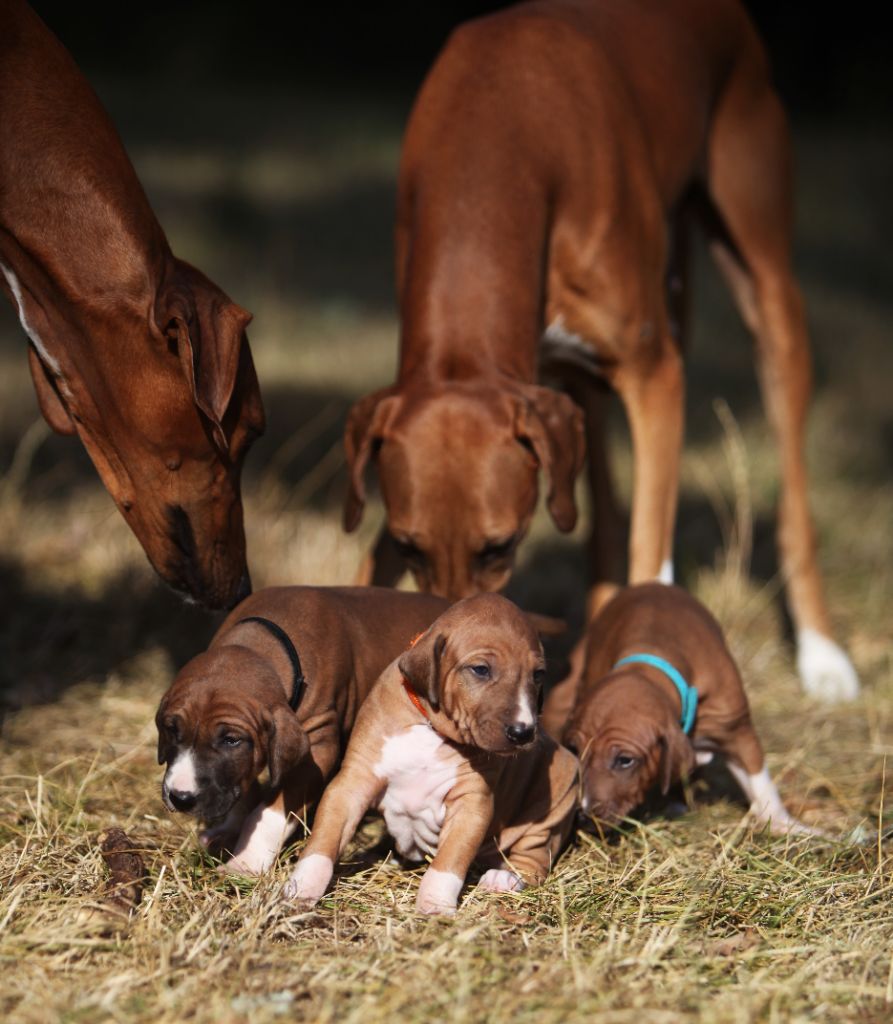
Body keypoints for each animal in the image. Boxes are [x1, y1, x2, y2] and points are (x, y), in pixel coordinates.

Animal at [156, 585, 450, 872]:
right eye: (172, 730)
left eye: (231, 740)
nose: (181, 797)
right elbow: (244, 789)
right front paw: (228, 831)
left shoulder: (317, 750)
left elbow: (270, 813)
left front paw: (246, 860)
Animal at [284, 598, 577, 917]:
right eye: (481, 669)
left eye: (538, 675)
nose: (523, 732)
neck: (431, 728)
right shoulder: (353, 782)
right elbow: (323, 842)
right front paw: (302, 887)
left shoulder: (471, 804)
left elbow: (449, 861)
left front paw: (436, 904)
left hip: (556, 798)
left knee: (534, 860)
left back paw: (504, 878)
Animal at [342, 0, 856, 700]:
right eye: (410, 545)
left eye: (500, 547)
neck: (497, 127)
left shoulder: (656, 376)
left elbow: (651, 559)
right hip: (578, 388)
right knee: (605, 515)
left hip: (766, 276)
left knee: (790, 481)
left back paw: (822, 654)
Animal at [553, 581, 823, 835]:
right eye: (574, 750)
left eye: (625, 760)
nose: (581, 816)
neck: (650, 657)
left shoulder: (738, 731)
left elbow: (760, 781)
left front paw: (783, 823)